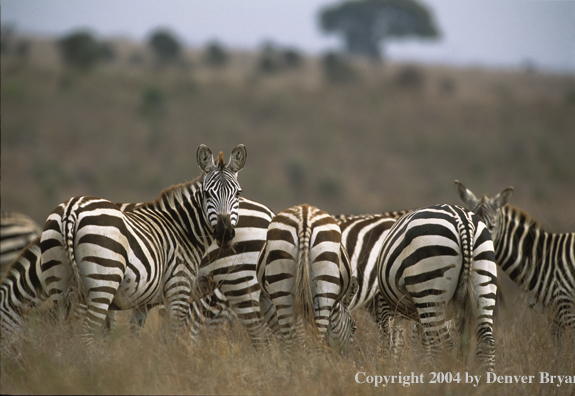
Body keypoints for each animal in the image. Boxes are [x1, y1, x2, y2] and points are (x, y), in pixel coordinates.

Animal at [7, 144, 248, 342]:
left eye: (237, 193)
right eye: (207, 194)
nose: (225, 233)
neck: (182, 230)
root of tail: (72, 209)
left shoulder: (143, 302)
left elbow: (135, 339)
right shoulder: (178, 291)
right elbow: (173, 338)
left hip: (58, 279)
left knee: (62, 331)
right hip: (102, 281)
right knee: (86, 332)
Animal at [255, 204, 358, 352]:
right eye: (354, 327)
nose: (346, 354)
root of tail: (304, 216)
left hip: (281, 285)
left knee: (290, 340)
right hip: (324, 287)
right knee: (316, 339)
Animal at [376, 204, 498, 372]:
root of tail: (463, 220)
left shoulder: (387, 307)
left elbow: (393, 338)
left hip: (428, 286)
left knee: (438, 346)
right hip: (484, 280)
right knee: (486, 342)